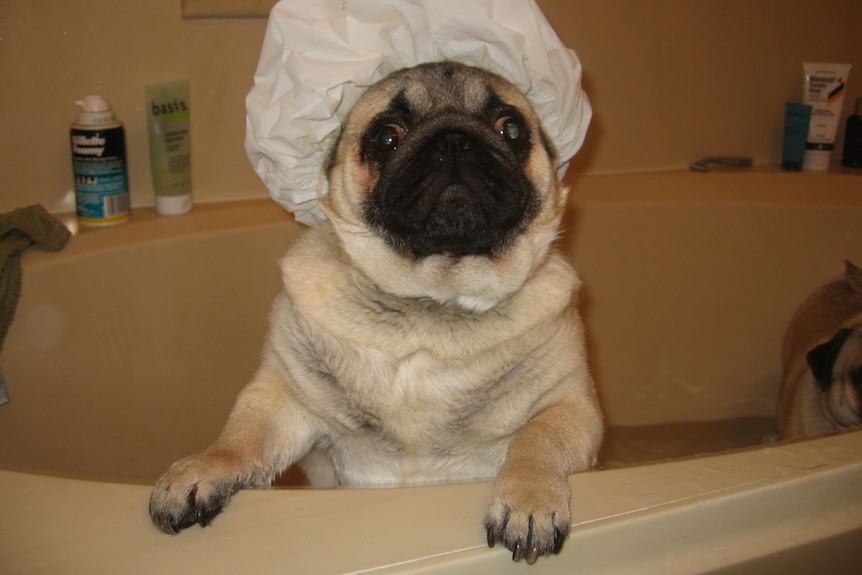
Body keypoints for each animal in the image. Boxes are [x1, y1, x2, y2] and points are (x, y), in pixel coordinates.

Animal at [148, 60, 604, 564]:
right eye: (387, 136)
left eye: (511, 128)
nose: (453, 139)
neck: (430, 301)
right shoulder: (282, 398)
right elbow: (239, 438)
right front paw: (200, 469)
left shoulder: (569, 405)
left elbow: (536, 438)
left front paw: (529, 498)